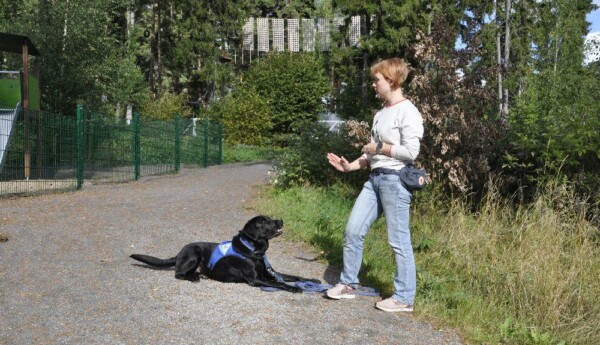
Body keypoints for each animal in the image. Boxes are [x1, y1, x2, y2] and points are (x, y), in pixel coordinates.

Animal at [129, 215, 322, 290]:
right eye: (265, 221)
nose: (281, 220)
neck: (254, 250)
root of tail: (179, 253)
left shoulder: (270, 272)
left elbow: (293, 276)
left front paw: (312, 281)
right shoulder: (257, 279)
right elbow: (280, 283)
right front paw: (294, 288)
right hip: (194, 252)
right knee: (178, 273)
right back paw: (194, 276)